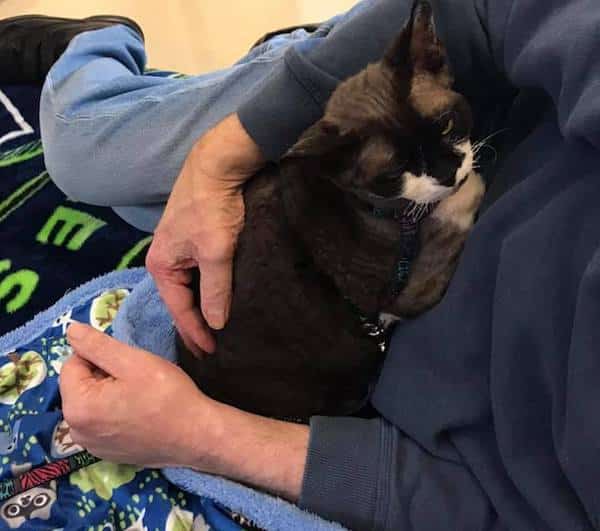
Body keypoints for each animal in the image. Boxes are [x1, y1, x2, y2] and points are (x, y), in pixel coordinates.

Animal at [176, 1, 486, 424]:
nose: (446, 172)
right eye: (393, 174)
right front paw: (461, 188)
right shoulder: (412, 288)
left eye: (445, 124)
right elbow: (465, 197)